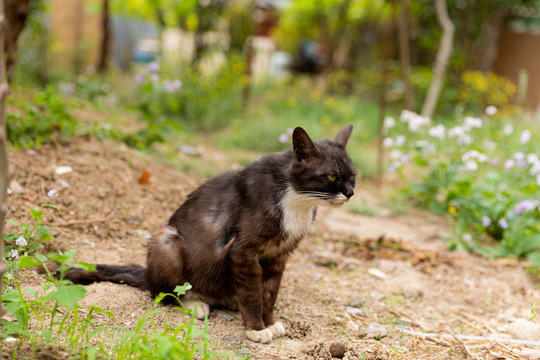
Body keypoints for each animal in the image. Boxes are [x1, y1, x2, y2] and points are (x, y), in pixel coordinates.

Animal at [59, 126, 356, 344]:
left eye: (353, 177)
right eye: (332, 177)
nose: (350, 193)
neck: (297, 199)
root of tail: (146, 274)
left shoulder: (279, 255)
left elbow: (270, 291)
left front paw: (270, 321)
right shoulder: (242, 251)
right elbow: (252, 291)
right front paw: (257, 328)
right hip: (168, 242)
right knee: (163, 293)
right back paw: (195, 304)